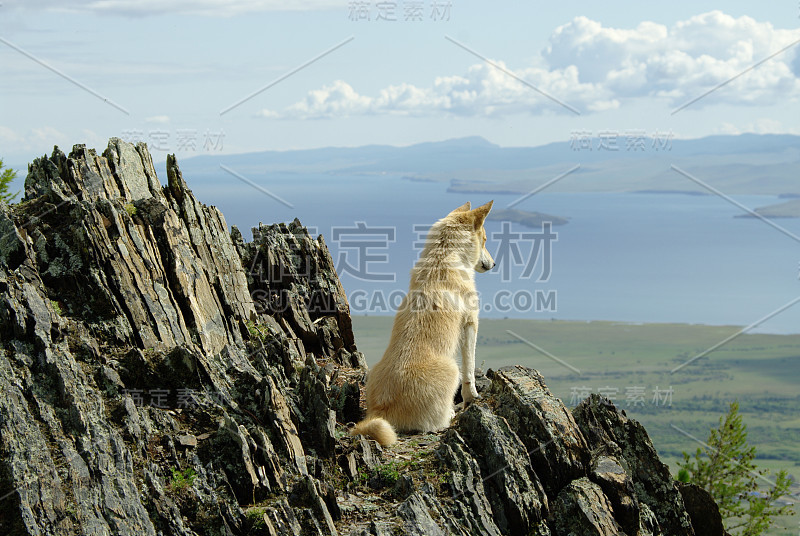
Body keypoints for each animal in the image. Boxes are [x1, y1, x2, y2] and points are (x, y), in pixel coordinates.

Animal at [352, 199, 494, 446]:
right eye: (484, 240)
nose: (494, 264)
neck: (444, 257)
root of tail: (380, 411)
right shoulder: (470, 325)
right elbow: (469, 372)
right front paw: (472, 398)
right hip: (452, 369)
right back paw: (451, 414)